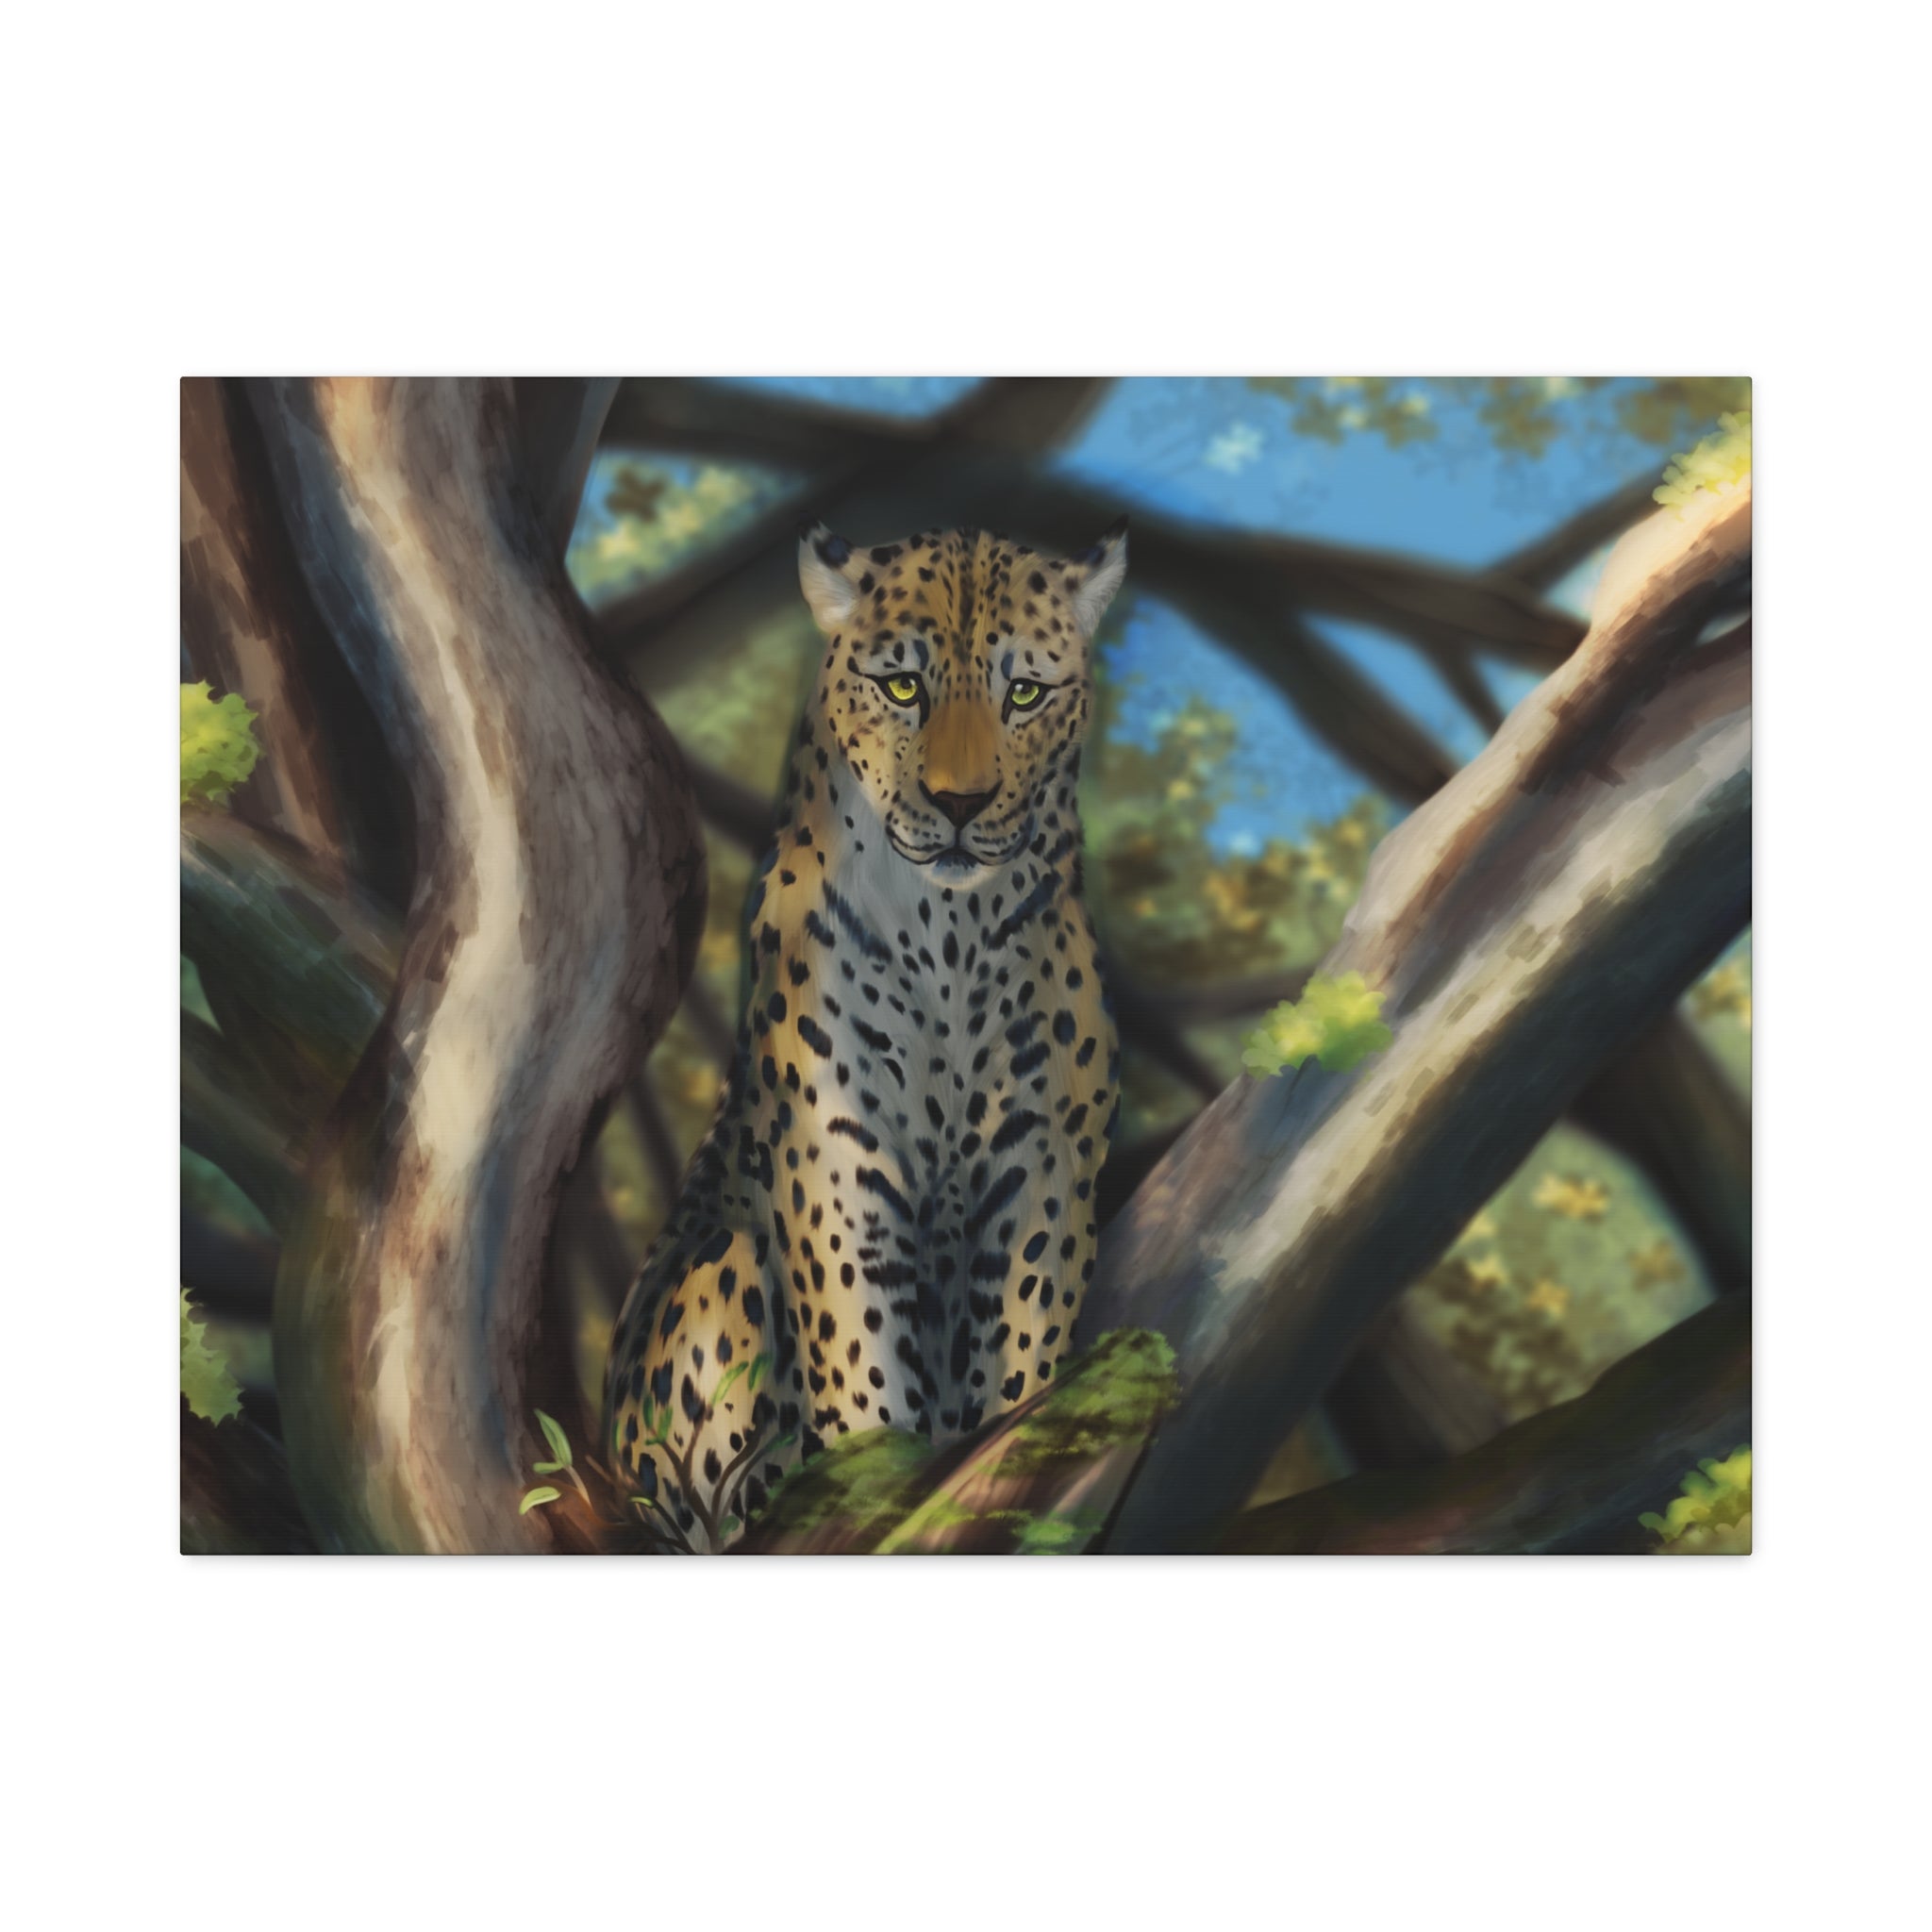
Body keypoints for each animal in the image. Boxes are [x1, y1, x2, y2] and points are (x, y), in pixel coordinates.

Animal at [603, 518, 1128, 1552]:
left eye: (1024, 692)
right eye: (901, 687)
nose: (960, 803)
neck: (950, 933)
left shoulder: (1042, 1164)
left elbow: (1022, 1350)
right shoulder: (836, 1159)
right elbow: (861, 1361)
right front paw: (876, 1482)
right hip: (716, 1276)